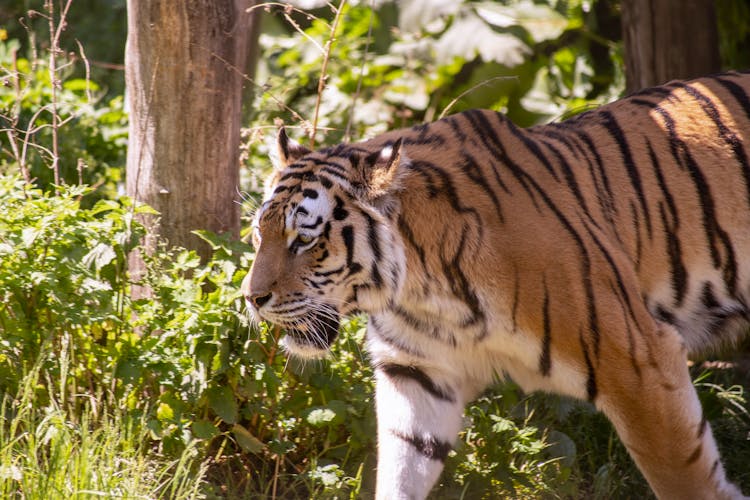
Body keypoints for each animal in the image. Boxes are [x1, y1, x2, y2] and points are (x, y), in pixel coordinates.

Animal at [241, 71, 750, 500]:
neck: (423, 291)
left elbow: (684, 477)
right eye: (259, 233)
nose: (252, 298)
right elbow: (401, 467)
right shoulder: (418, 372)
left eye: (305, 240)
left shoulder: (638, 362)